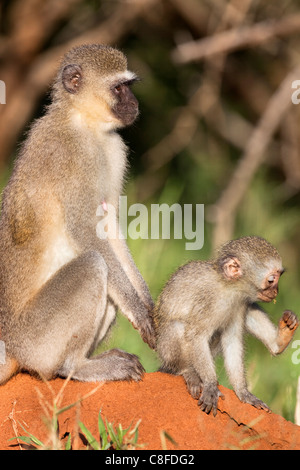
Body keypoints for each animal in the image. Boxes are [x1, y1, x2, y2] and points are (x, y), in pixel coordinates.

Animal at [0, 43, 156, 386]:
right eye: (119, 88)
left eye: (129, 86)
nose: (135, 103)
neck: (84, 123)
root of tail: (12, 343)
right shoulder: (70, 156)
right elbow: (85, 230)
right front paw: (137, 308)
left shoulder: (114, 149)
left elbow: (109, 226)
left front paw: (145, 301)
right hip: (38, 339)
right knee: (95, 264)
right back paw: (75, 367)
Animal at [154, 237, 298, 416]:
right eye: (271, 280)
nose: (276, 291)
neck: (230, 288)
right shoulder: (209, 300)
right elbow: (196, 335)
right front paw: (210, 384)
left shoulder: (240, 304)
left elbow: (232, 340)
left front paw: (243, 392)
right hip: (166, 352)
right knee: (178, 326)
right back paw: (187, 371)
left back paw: (279, 342)